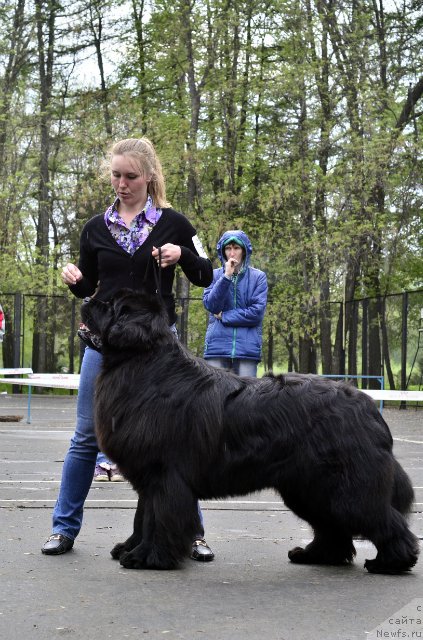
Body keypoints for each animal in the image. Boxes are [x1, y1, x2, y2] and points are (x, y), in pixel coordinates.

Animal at [83, 288, 420, 572]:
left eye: (110, 305)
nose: (86, 299)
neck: (144, 364)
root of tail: (367, 405)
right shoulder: (148, 478)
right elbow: (142, 517)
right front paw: (132, 548)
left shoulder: (164, 475)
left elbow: (158, 517)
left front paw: (148, 557)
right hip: (308, 488)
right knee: (332, 527)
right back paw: (315, 555)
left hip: (344, 488)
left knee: (381, 519)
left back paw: (391, 562)